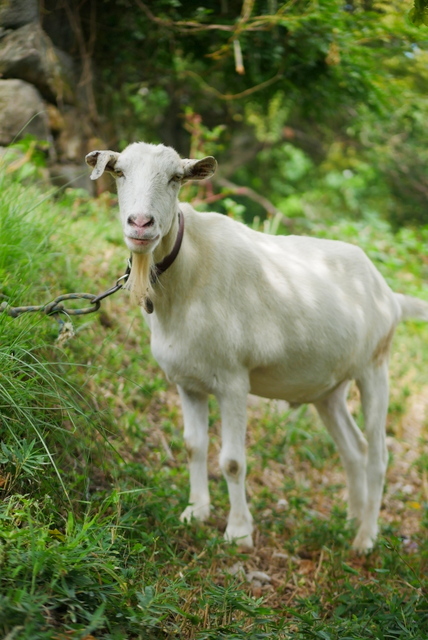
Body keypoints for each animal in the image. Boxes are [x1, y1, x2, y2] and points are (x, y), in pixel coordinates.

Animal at [87, 142, 428, 552]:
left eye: (175, 178)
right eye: (119, 173)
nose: (140, 224)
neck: (190, 273)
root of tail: (389, 295)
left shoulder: (233, 381)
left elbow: (233, 461)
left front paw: (238, 531)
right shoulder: (187, 382)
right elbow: (193, 446)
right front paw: (195, 512)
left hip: (375, 369)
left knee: (378, 455)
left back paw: (365, 538)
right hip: (330, 389)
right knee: (354, 449)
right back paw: (351, 520)